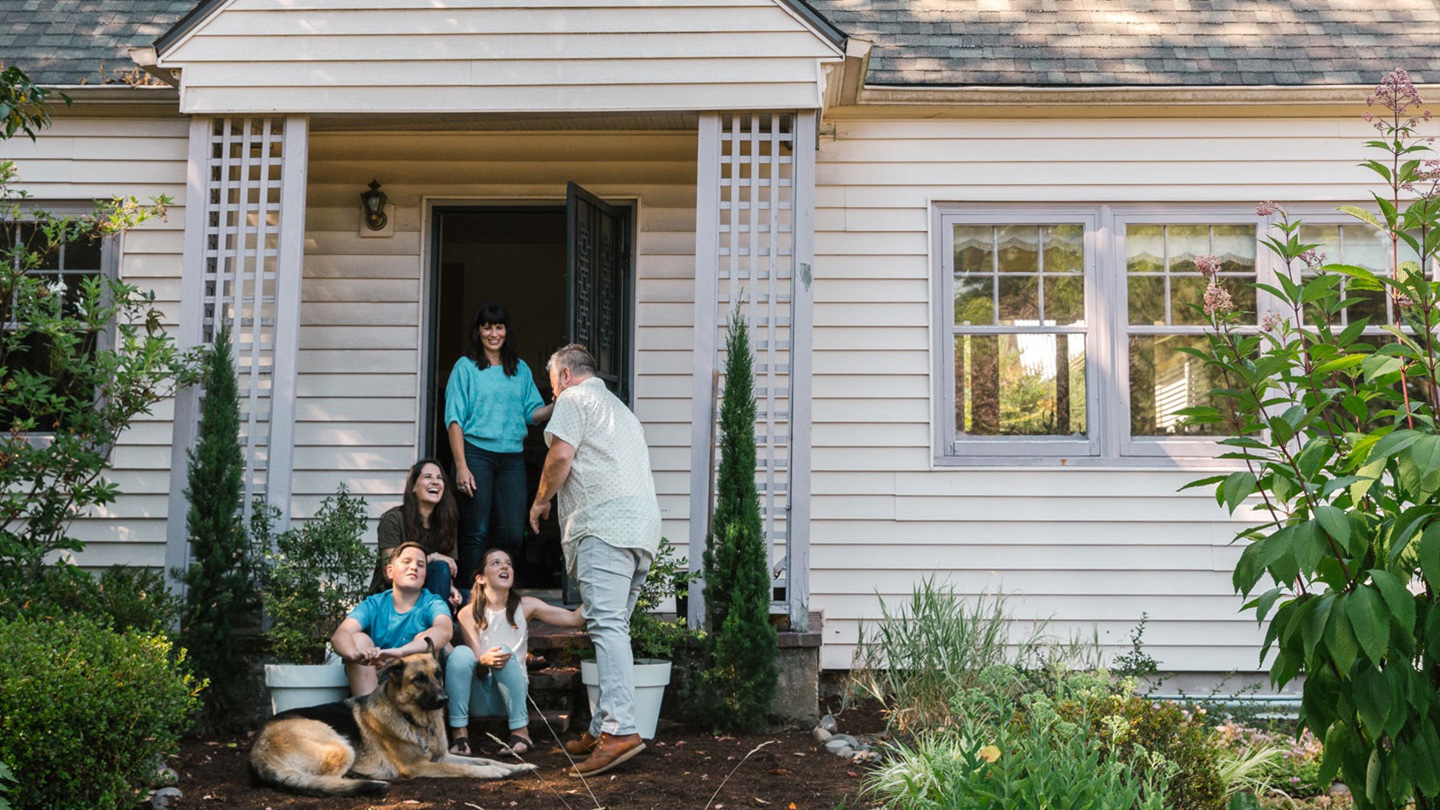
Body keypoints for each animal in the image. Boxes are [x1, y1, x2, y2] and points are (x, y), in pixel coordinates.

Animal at [250, 639, 538, 795]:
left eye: (438, 674)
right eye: (418, 679)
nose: (444, 700)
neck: (418, 722)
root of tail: (256, 751)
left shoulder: (442, 756)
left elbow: (481, 759)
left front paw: (516, 766)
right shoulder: (421, 766)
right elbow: (463, 769)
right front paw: (492, 773)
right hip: (339, 746)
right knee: (329, 779)